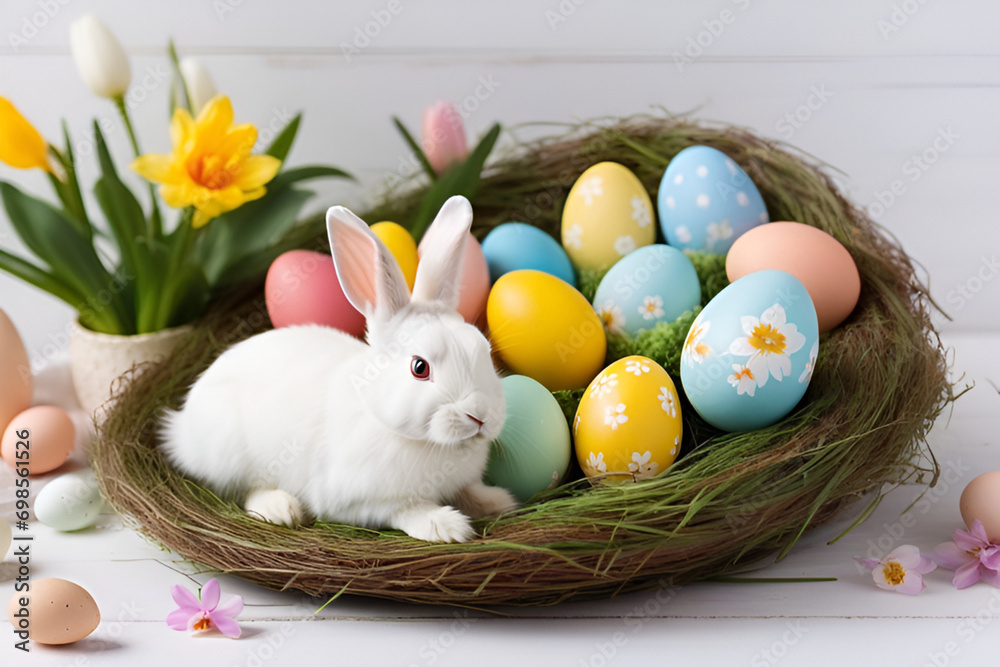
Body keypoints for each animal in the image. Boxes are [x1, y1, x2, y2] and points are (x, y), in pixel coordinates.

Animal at [162, 196, 516, 544]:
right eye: (420, 367)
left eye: (484, 351)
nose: (480, 415)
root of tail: (181, 428)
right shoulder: (359, 501)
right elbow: (405, 509)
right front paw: (445, 525)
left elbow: (468, 490)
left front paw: (498, 501)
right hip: (232, 456)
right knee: (245, 490)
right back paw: (280, 508)